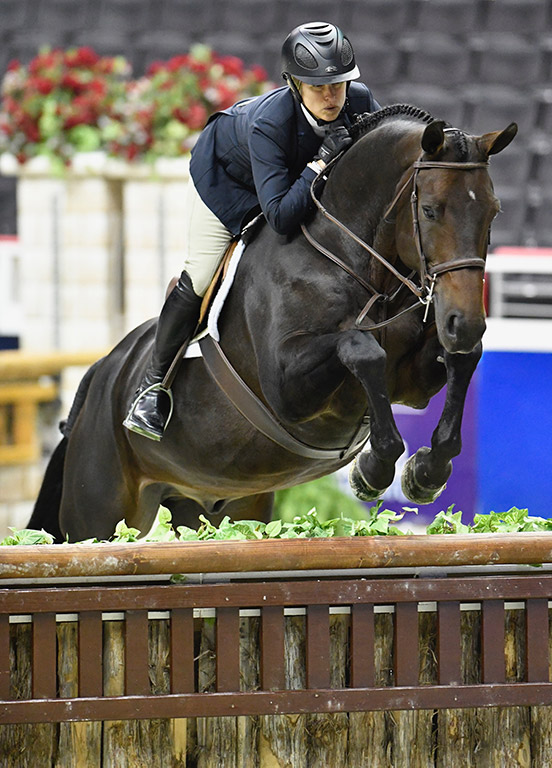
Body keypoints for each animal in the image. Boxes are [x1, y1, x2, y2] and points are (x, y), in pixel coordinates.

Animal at [27, 106, 516, 540]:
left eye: (493, 212)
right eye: (430, 210)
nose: (463, 322)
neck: (355, 262)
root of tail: (99, 373)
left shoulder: (412, 381)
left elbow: (463, 360)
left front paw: (425, 473)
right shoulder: (287, 389)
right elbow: (360, 348)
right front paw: (374, 470)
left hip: (225, 506)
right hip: (100, 514)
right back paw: (146, 408)